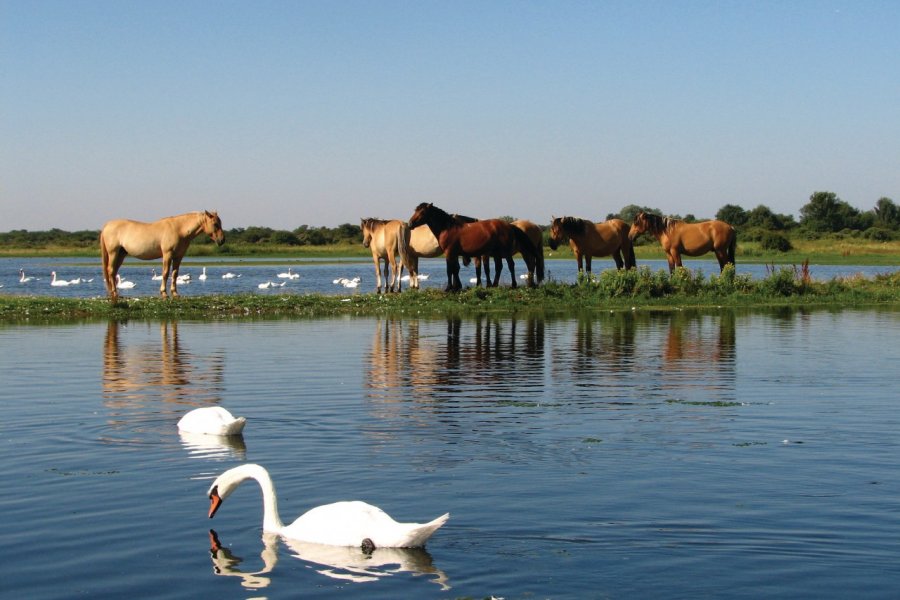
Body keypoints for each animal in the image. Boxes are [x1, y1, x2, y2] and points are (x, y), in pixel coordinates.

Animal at [410, 203, 540, 292]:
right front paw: (456, 287)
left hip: (506, 252)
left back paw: (513, 285)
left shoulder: (449, 253)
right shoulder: (454, 254)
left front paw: (449, 288)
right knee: (499, 267)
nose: (410, 223)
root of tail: (508, 225)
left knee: (511, 265)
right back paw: (494, 285)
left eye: (422, 212)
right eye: (415, 210)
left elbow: (449, 270)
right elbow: (455, 269)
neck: (447, 228)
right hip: (497, 253)